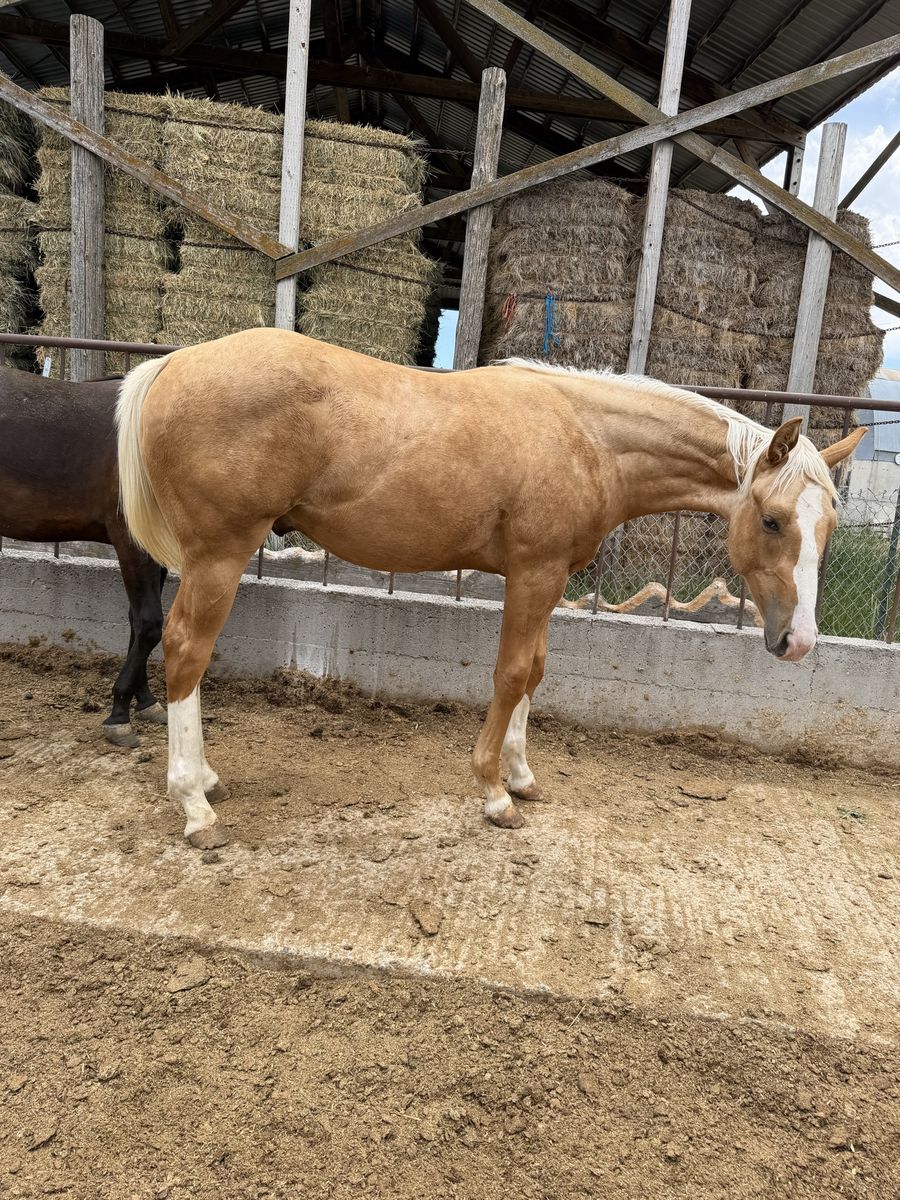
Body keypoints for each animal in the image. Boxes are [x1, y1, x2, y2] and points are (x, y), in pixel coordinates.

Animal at [115, 328, 865, 848]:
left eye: (827, 523)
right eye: (771, 520)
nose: (799, 641)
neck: (585, 435)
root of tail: (174, 363)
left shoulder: (552, 575)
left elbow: (535, 670)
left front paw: (523, 776)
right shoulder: (531, 573)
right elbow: (509, 674)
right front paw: (494, 791)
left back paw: (204, 780)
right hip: (220, 555)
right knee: (185, 650)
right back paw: (193, 803)